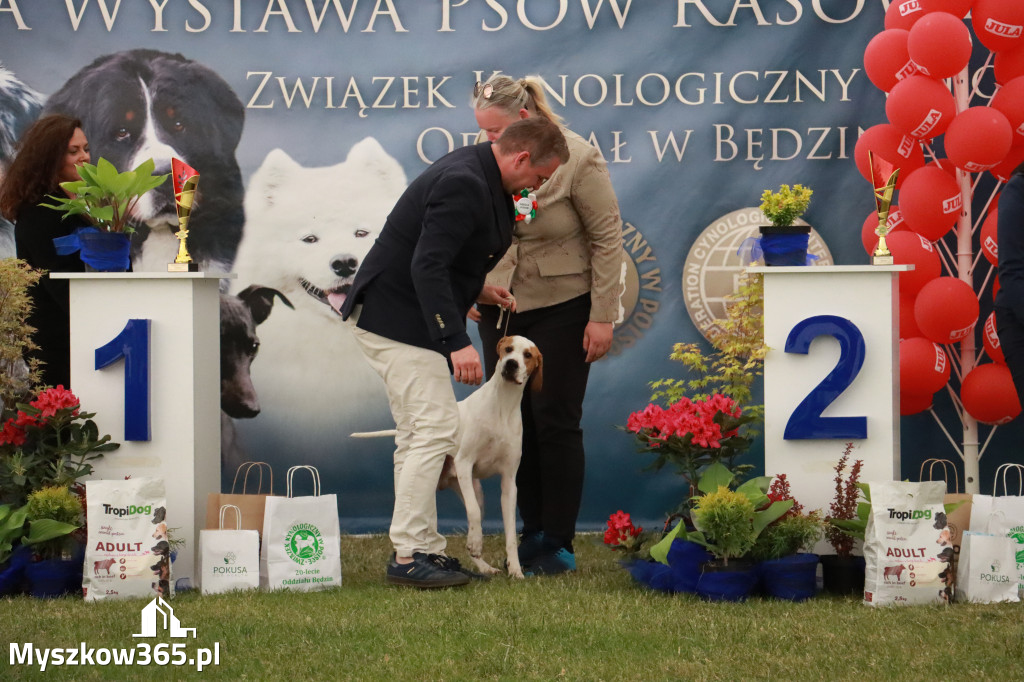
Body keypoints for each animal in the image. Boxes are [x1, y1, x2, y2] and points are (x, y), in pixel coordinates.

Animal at [354, 333, 544, 573]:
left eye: (527, 355)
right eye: (508, 349)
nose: (511, 364)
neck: (503, 403)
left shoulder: (509, 482)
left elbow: (509, 535)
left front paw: (516, 571)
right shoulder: (464, 463)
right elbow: (473, 514)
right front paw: (476, 543)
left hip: (473, 489)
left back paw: (484, 568)